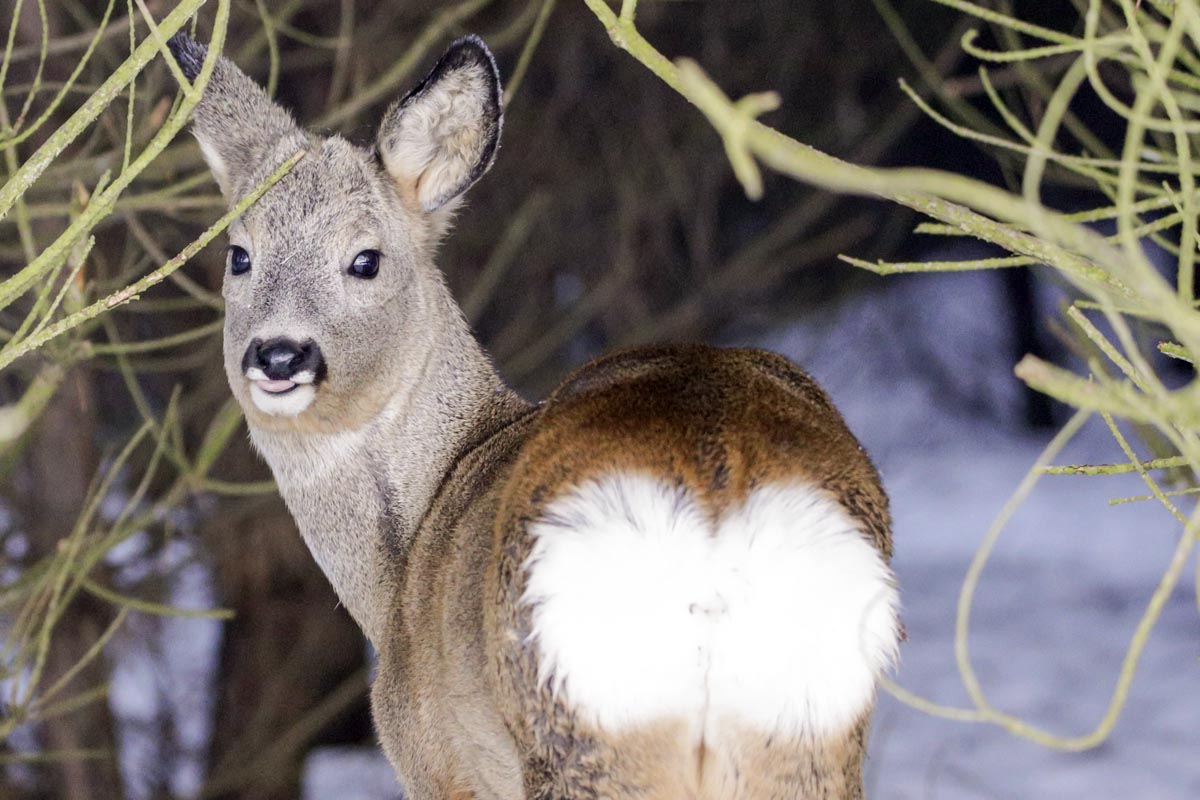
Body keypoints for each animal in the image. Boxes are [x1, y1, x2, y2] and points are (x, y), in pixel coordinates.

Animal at [169, 31, 902, 800]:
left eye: (366, 260)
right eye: (239, 255)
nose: (280, 354)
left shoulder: (439, 763)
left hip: (582, 718)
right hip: (812, 736)